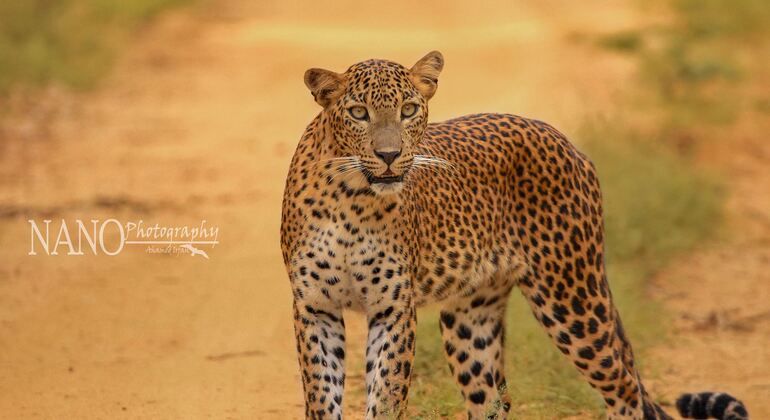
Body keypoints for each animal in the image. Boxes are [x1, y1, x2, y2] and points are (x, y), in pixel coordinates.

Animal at [280, 50, 748, 420]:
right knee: (493, 400)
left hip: (572, 296)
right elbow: (321, 397)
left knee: (624, 388)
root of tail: (566, 140)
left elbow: (386, 398)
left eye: (409, 110)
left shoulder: (393, 308)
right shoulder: (315, 307)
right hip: (470, 317)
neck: (352, 199)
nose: (390, 155)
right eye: (358, 113)